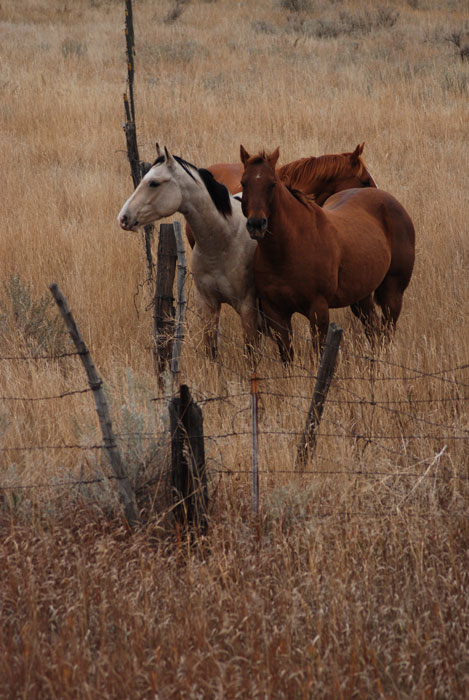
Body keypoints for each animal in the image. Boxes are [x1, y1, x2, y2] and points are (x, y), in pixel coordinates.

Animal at [115, 145, 258, 358]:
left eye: (154, 183)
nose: (123, 218)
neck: (225, 240)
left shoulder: (247, 308)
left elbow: (251, 355)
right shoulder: (207, 305)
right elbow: (211, 351)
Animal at [239, 145, 414, 364]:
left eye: (272, 183)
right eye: (244, 182)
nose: (256, 224)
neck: (288, 249)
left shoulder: (318, 310)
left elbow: (318, 355)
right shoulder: (276, 313)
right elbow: (287, 357)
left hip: (393, 292)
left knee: (387, 332)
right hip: (361, 297)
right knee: (375, 332)